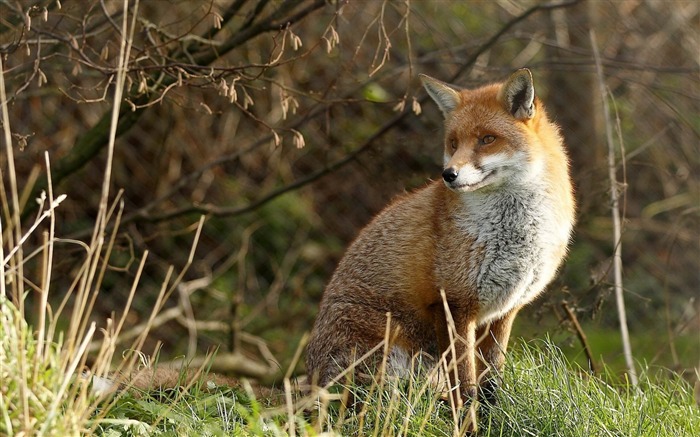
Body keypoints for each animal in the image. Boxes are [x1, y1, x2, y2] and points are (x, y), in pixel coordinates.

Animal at [304, 68, 576, 408]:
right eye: (454, 143)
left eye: (487, 139)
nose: (449, 174)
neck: (514, 232)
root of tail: (307, 387)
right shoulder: (453, 305)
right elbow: (465, 383)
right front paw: (469, 416)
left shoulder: (505, 311)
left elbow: (492, 377)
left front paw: (492, 411)